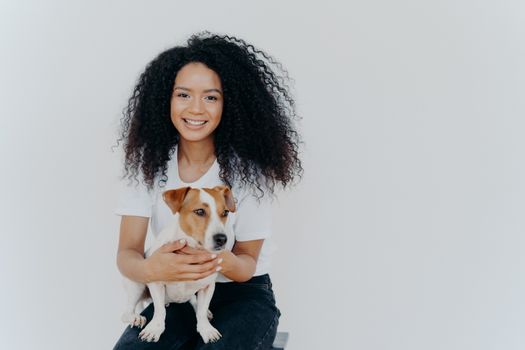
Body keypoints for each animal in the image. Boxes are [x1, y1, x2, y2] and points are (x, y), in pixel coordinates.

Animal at [121, 187, 235, 344]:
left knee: (194, 301)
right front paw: (155, 329)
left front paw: (206, 329)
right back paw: (135, 317)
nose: (222, 239)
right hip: (136, 284)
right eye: (200, 211)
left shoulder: (208, 286)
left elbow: (201, 312)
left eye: (225, 213)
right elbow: (160, 311)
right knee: (126, 312)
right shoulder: (156, 282)